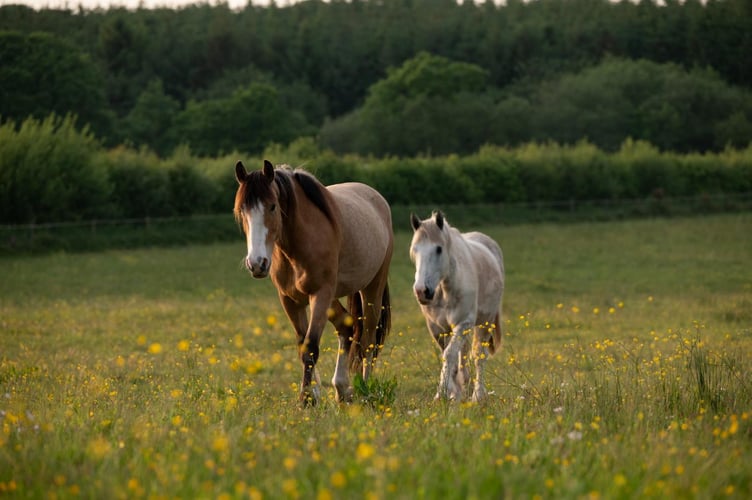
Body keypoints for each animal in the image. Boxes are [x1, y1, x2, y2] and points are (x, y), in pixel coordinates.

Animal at [234, 160, 393, 406]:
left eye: (272, 206)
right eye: (242, 209)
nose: (257, 263)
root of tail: (377, 199)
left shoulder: (320, 294)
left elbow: (310, 346)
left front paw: (306, 399)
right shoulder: (290, 299)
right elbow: (303, 345)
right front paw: (313, 394)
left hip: (371, 287)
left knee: (367, 338)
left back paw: (364, 388)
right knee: (347, 325)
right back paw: (342, 388)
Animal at [409, 210, 504, 402]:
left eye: (438, 249)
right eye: (415, 250)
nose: (422, 291)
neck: (444, 289)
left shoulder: (463, 324)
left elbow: (450, 354)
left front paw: (442, 393)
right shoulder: (438, 328)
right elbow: (449, 357)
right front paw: (452, 393)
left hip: (485, 323)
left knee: (479, 357)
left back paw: (478, 396)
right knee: (465, 356)